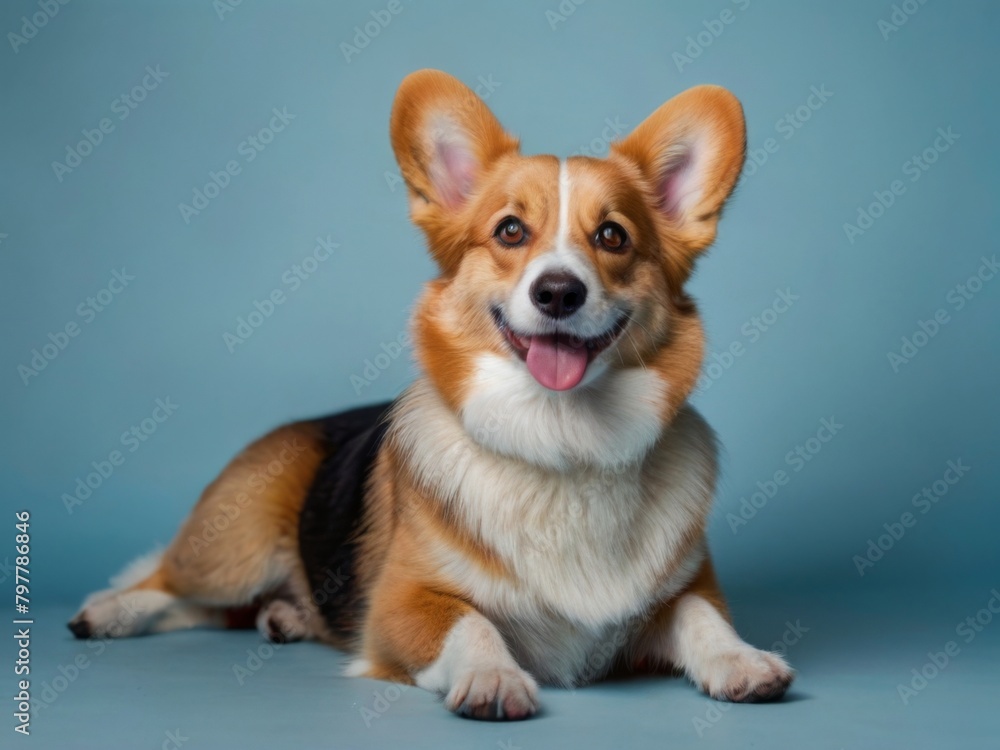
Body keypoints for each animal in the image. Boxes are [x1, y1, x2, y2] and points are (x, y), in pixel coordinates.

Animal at [66, 70, 792, 724]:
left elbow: (703, 619)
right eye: (509, 231)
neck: (562, 441)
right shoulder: (402, 604)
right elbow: (471, 622)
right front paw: (494, 677)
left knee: (224, 612)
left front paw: (743, 660)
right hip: (234, 542)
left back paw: (283, 615)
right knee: (169, 582)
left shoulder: (687, 590)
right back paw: (108, 611)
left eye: (612, 236)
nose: (558, 292)